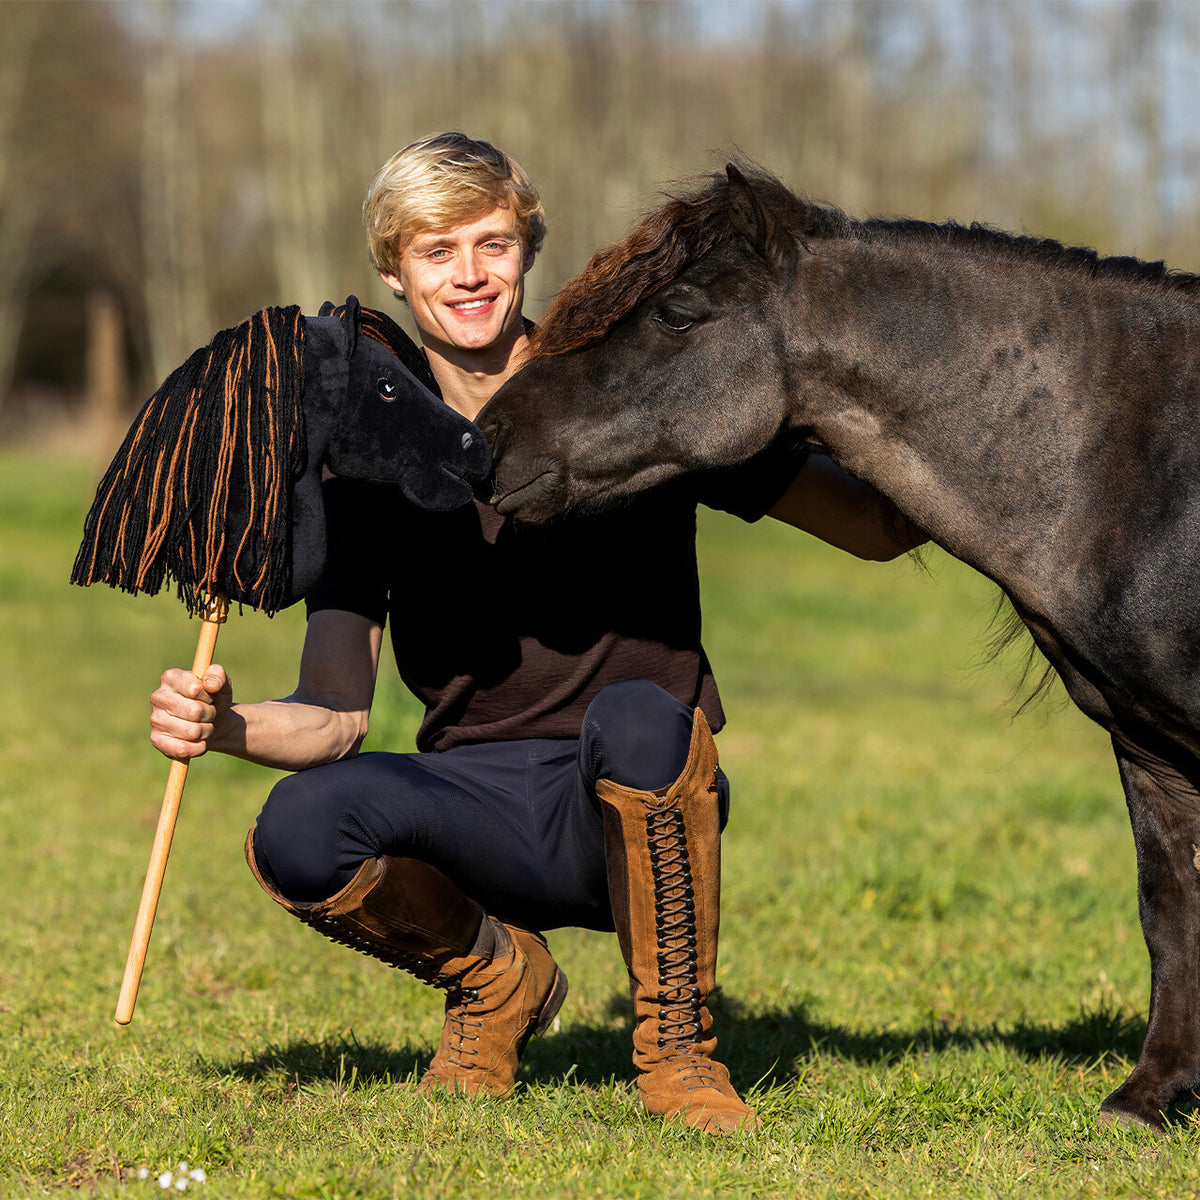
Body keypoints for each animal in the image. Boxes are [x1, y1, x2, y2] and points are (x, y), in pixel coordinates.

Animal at [477, 166, 1200, 1131]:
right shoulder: (1149, 749)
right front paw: (1151, 1097)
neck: (1143, 465)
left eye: (676, 313)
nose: (486, 439)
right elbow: (1168, 904)